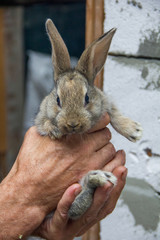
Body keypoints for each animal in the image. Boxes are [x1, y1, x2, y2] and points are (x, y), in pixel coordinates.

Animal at [35, 19, 142, 220]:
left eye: (86, 98)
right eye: (58, 100)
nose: (72, 123)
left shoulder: (105, 103)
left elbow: (114, 115)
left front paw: (134, 131)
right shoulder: (41, 115)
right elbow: (43, 123)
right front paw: (54, 131)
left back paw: (101, 177)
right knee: (75, 206)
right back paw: (99, 177)